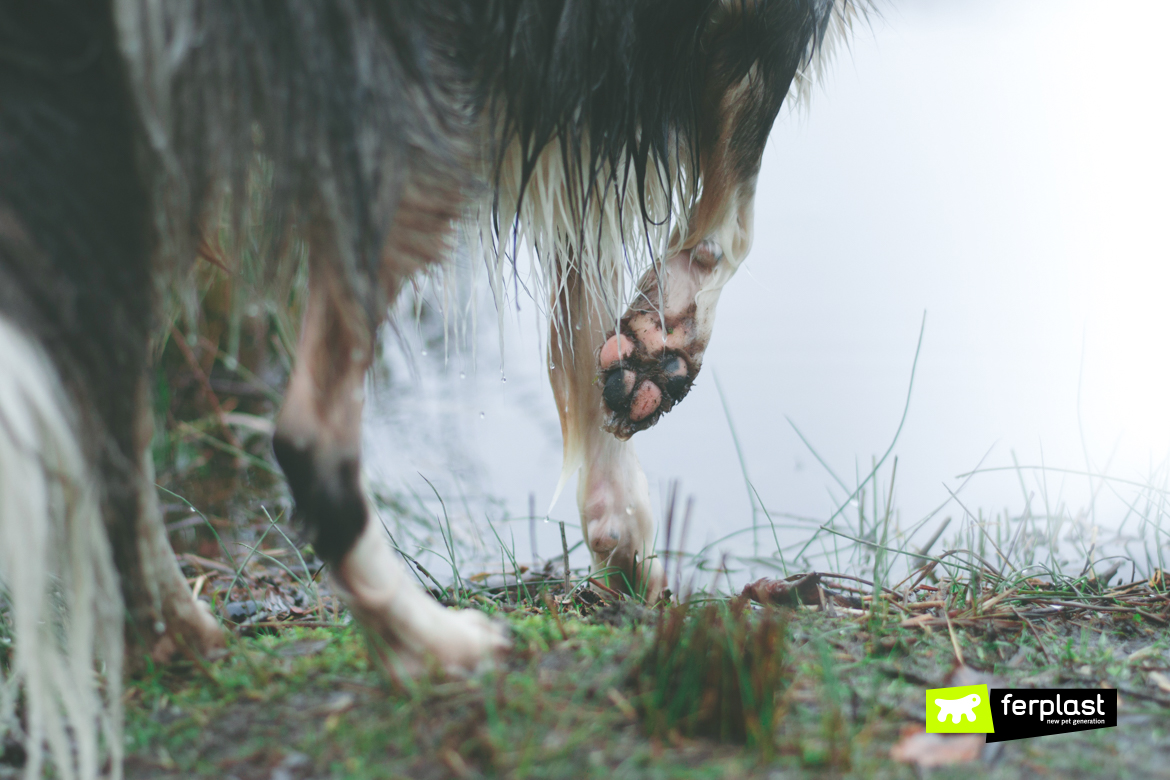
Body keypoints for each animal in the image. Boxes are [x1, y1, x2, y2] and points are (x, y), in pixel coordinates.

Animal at [0, 3, 861, 776]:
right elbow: (734, 205)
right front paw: (665, 346)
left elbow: (585, 283)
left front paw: (623, 526)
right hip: (408, 110)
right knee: (306, 432)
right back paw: (429, 644)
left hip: (126, 156)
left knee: (108, 425)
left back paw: (178, 632)